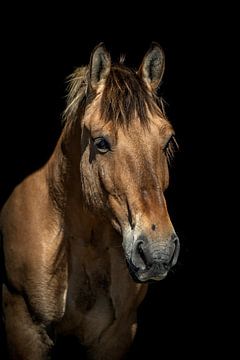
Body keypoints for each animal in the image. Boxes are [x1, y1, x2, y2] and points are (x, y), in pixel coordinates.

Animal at [0, 43, 179, 360]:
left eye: (167, 140)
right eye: (101, 143)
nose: (158, 252)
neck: (87, 246)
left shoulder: (115, 337)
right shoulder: (25, 327)